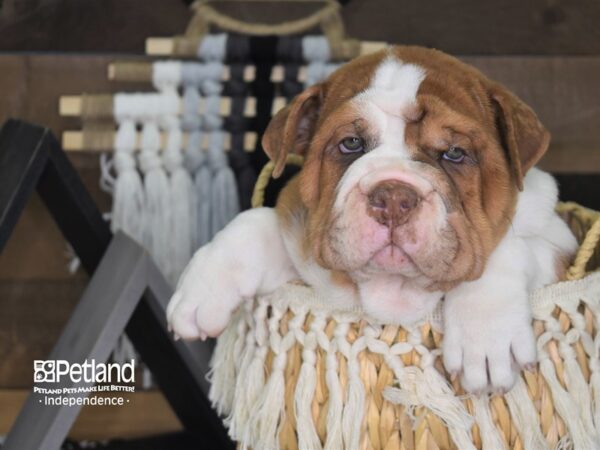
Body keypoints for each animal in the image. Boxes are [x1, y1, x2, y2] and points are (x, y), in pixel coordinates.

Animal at [166, 44, 580, 392]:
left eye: (455, 153)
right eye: (351, 144)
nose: (394, 196)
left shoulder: (560, 245)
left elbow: (505, 252)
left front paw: (488, 338)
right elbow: (256, 221)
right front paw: (202, 289)